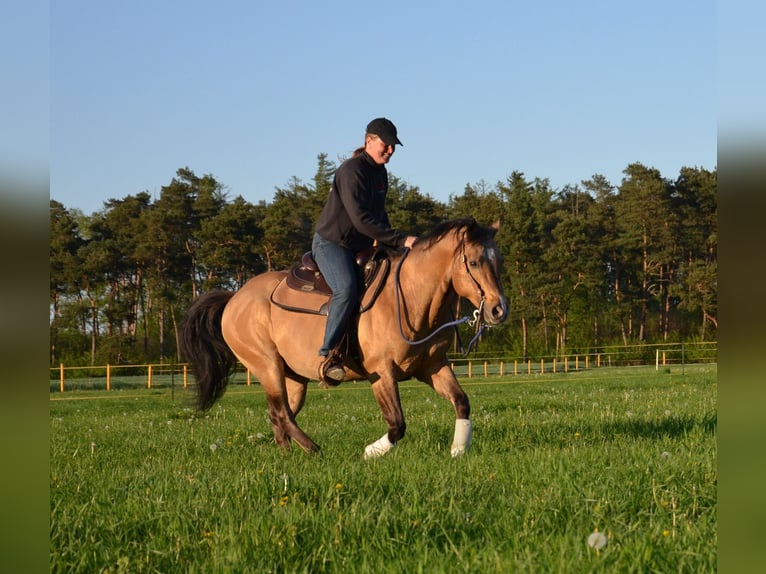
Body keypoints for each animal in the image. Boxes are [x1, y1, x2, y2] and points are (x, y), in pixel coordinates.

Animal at [179, 218, 508, 458]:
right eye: (474, 262)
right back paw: (314, 449)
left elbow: (461, 402)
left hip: (293, 377)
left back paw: (287, 453)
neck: (408, 298)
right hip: (266, 365)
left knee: (280, 413)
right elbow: (397, 424)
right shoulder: (381, 373)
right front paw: (371, 451)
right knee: (281, 412)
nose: (498, 309)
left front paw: (458, 450)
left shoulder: (433, 366)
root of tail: (234, 298)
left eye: (498, 261)